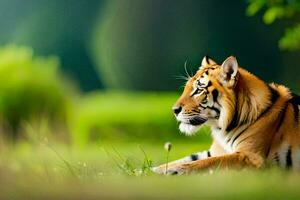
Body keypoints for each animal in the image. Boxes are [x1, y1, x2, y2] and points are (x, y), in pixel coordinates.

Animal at [154, 55, 298, 174]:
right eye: (186, 87)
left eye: (199, 90)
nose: (174, 110)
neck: (223, 128)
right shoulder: (213, 151)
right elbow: (186, 158)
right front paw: (153, 170)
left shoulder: (251, 156)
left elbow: (203, 163)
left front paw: (170, 171)